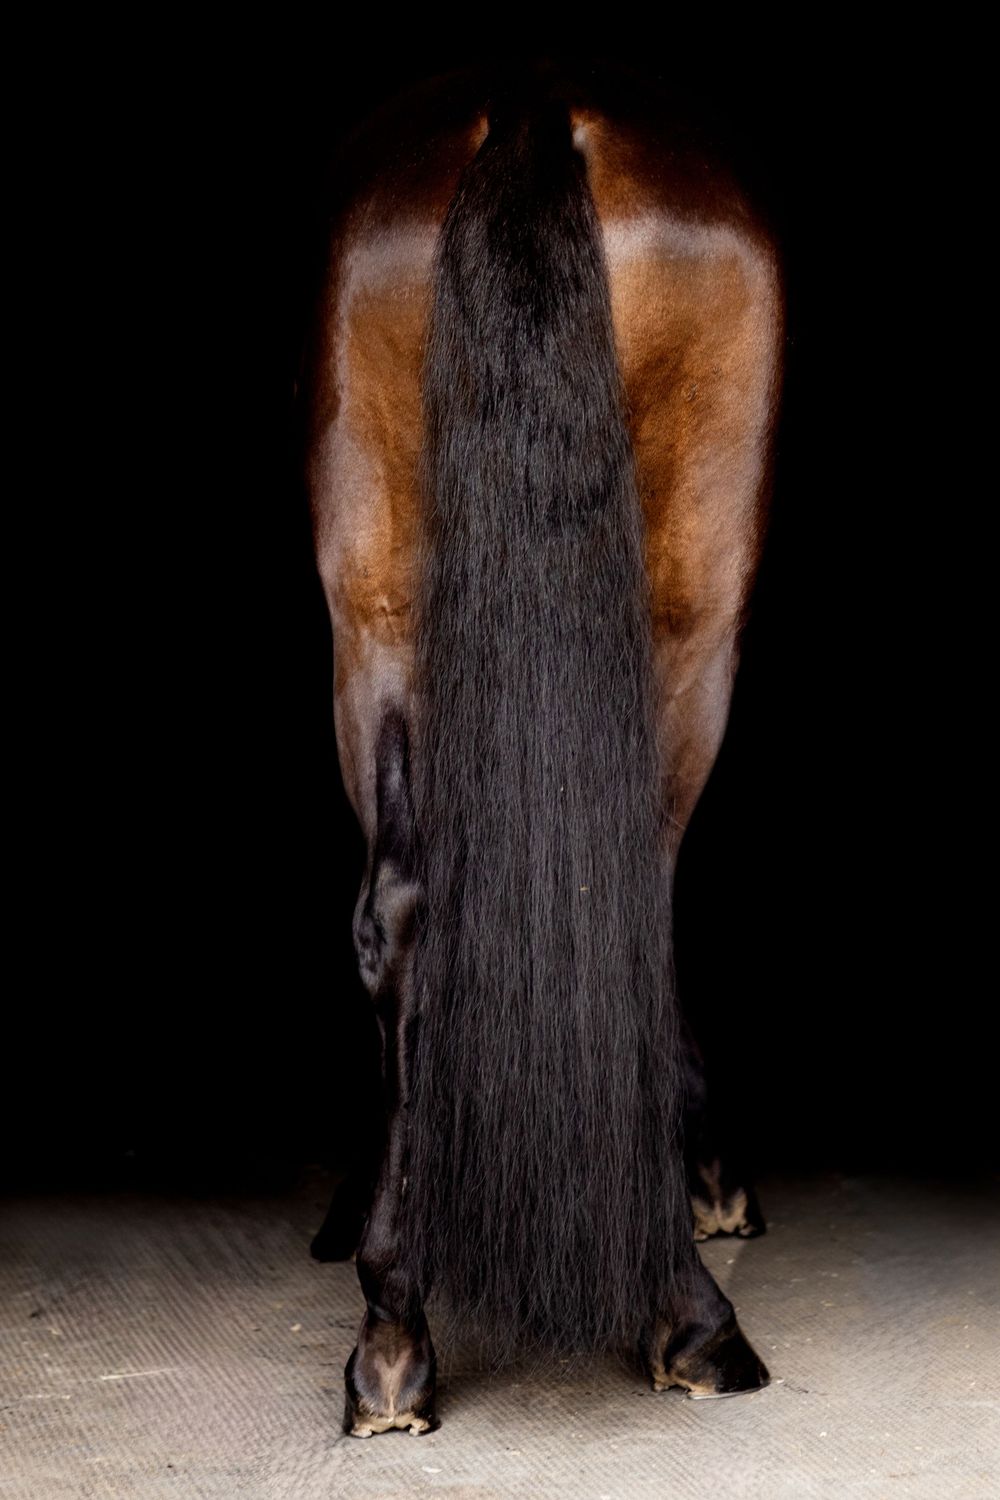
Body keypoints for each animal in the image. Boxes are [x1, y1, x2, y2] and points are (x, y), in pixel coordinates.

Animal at [303, 59, 785, 1437]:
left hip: (377, 599)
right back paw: (687, 1315)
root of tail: (531, 108)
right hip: (688, 606)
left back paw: (393, 1331)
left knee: (397, 910)